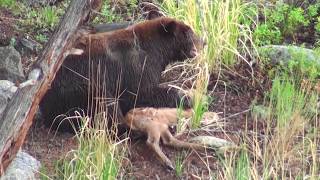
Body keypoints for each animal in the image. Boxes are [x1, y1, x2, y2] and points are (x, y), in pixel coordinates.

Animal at [40, 16, 204, 131]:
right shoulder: (135, 67)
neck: (157, 50)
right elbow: (142, 92)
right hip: (80, 87)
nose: (204, 42)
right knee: (104, 104)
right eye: (189, 33)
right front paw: (188, 98)